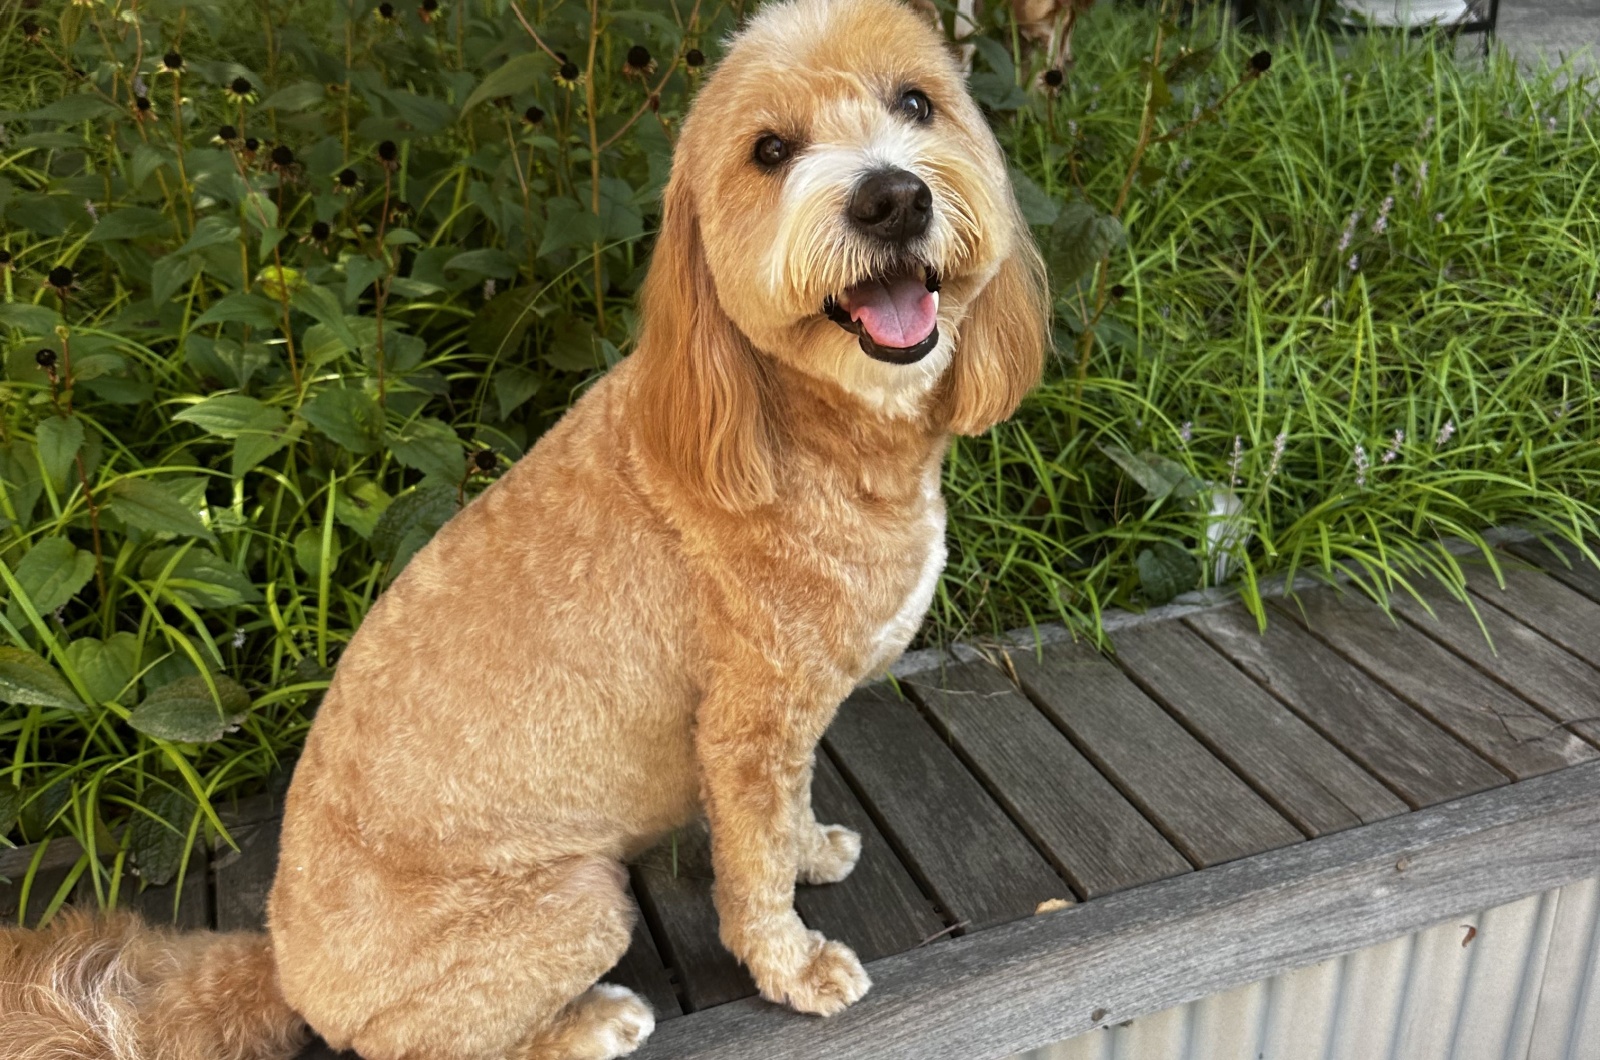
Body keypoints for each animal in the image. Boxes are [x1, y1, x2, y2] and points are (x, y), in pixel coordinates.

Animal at [0, 0, 1043, 1056]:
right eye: (770, 151)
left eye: (916, 102)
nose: (890, 199)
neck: (795, 421)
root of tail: (284, 966)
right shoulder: (747, 724)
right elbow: (751, 870)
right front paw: (792, 967)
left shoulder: (787, 727)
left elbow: (786, 813)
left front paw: (810, 851)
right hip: (576, 898)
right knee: (423, 1043)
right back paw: (596, 1021)